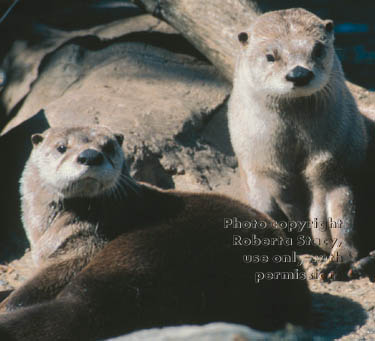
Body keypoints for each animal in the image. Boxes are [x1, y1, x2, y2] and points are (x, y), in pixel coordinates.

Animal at [0, 126, 312, 338]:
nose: (89, 156)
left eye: (108, 147)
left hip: (146, 250)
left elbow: (45, 281)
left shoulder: (86, 245)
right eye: (61, 147)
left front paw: (11, 301)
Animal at [229, 7, 370, 280]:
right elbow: (264, 208)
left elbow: (345, 211)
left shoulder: (334, 165)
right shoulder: (257, 167)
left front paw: (340, 260)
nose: (299, 73)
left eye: (317, 50)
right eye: (270, 56)